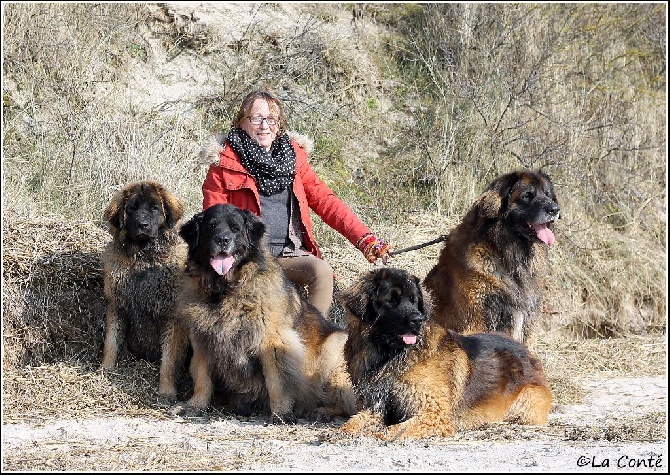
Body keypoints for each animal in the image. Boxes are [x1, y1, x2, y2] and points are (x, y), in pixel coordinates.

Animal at [100, 182, 190, 402]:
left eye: (155, 208)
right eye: (132, 208)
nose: (143, 225)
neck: (144, 260)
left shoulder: (171, 317)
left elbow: (168, 360)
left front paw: (166, 391)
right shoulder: (117, 305)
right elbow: (111, 342)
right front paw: (106, 369)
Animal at [165, 205, 356, 424]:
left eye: (236, 228)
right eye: (211, 226)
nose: (222, 240)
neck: (225, 290)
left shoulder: (272, 342)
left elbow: (276, 381)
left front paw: (281, 413)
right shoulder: (204, 340)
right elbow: (203, 378)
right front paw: (195, 405)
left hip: (334, 348)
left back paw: (321, 411)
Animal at [338, 268, 552, 442]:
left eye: (415, 301)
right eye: (391, 300)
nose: (418, 320)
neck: (389, 357)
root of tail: (527, 352)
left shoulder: (434, 413)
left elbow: (394, 429)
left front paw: (380, 433)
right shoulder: (374, 405)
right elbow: (352, 424)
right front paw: (340, 432)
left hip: (525, 403)